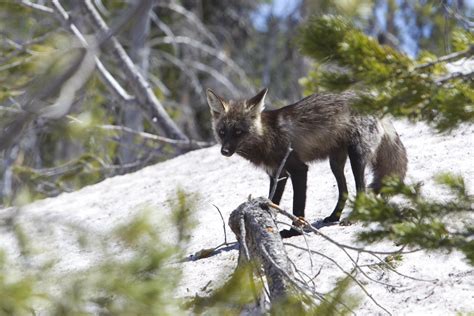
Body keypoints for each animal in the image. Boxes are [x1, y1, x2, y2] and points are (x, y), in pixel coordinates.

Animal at [207, 88, 408, 237]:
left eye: (239, 132)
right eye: (223, 132)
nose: (224, 151)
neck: (267, 137)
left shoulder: (298, 170)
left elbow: (298, 206)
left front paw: (294, 231)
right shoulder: (278, 174)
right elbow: (273, 203)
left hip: (356, 157)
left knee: (361, 190)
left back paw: (353, 217)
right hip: (335, 163)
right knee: (344, 191)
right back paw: (333, 217)